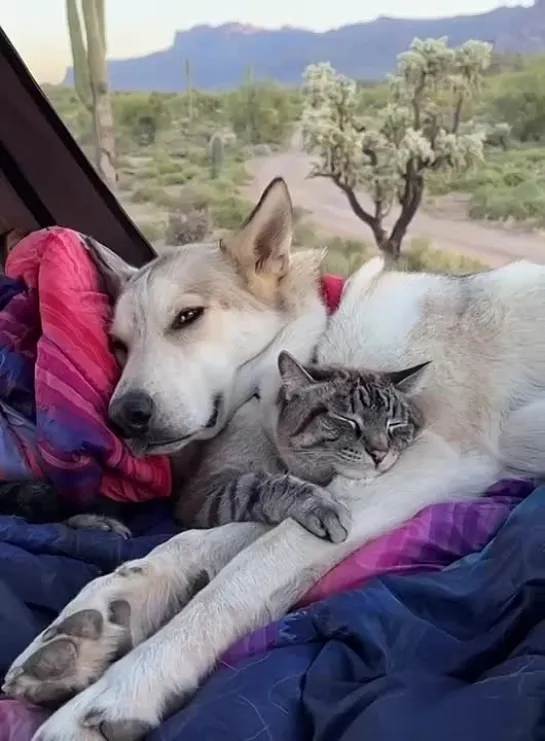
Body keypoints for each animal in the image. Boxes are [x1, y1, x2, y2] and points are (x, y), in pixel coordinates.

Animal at [174, 346, 430, 544]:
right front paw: (323, 506)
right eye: (346, 419)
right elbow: (259, 484)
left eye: (395, 424)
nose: (380, 453)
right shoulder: (202, 493)